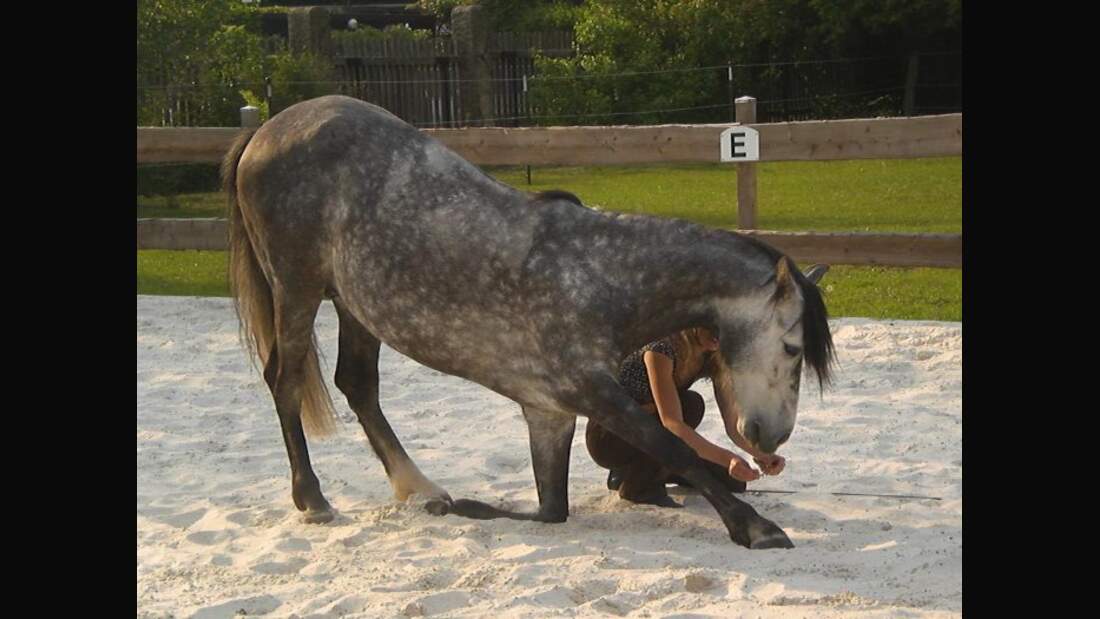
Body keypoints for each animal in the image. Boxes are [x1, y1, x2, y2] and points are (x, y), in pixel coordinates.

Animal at [227, 94, 836, 549]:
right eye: (792, 350)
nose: (773, 439)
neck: (603, 277)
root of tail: (267, 132)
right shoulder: (590, 391)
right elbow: (672, 447)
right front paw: (755, 527)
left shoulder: (549, 414)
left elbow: (551, 510)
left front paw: (466, 508)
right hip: (297, 287)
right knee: (285, 380)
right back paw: (313, 500)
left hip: (356, 304)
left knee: (357, 384)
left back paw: (420, 489)